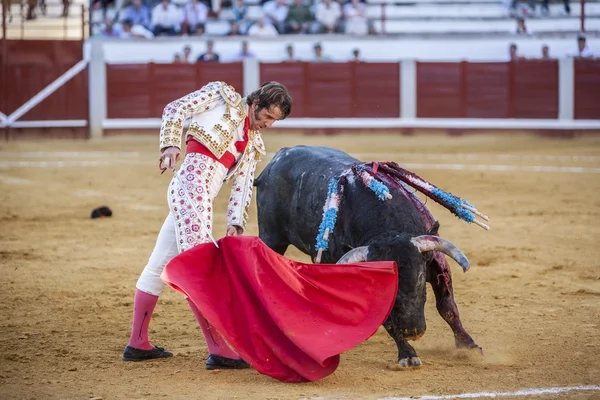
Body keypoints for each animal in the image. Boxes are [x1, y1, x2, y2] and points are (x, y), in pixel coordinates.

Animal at [254, 145, 482, 368]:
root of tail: (279, 157)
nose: (412, 331)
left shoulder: (435, 261)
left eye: (419, 278)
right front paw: (407, 354)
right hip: (271, 237)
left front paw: (468, 346)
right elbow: (387, 318)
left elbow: (447, 306)